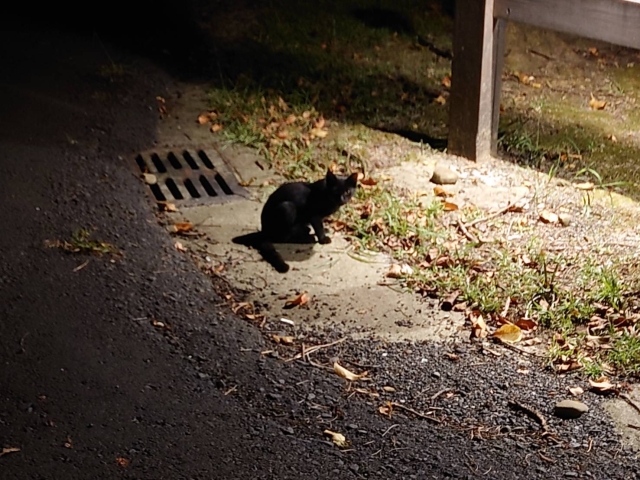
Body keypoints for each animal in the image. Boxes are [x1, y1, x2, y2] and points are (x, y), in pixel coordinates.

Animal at [231, 171, 360, 272]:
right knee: (282, 238)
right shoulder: (314, 215)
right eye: (335, 192)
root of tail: (264, 230)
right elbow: (318, 227)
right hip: (287, 207)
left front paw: (326, 229)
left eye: (347, 191)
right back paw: (306, 238)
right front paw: (323, 239)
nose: (342, 199)